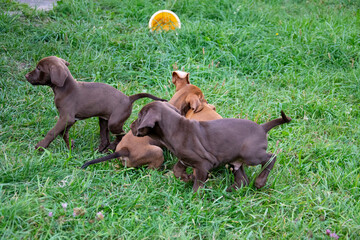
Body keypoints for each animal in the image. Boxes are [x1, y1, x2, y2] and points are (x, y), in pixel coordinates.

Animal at [25, 55, 166, 151]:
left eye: (38, 68)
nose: (26, 76)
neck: (65, 89)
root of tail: (129, 98)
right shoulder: (69, 120)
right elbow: (63, 133)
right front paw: (70, 145)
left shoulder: (66, 118)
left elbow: (52, 132)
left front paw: (40, 146)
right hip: (104, 121)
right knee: (105, 137)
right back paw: (101, 149)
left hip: (114, 122)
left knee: (121, 134)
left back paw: (111, 148)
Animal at [131, 102, 292, 192]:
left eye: (139, 117)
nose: (131, 126)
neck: (175, 128)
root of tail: (262, 127)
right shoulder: (185, 159)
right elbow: (177, 170)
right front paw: (186, 177)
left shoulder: (203, 164)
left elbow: (197, 186)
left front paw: (194, 200)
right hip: (235, 161)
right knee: (243, 180)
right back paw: (228, 191)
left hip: (251, 155)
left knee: (271, 157)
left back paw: (260, 181)